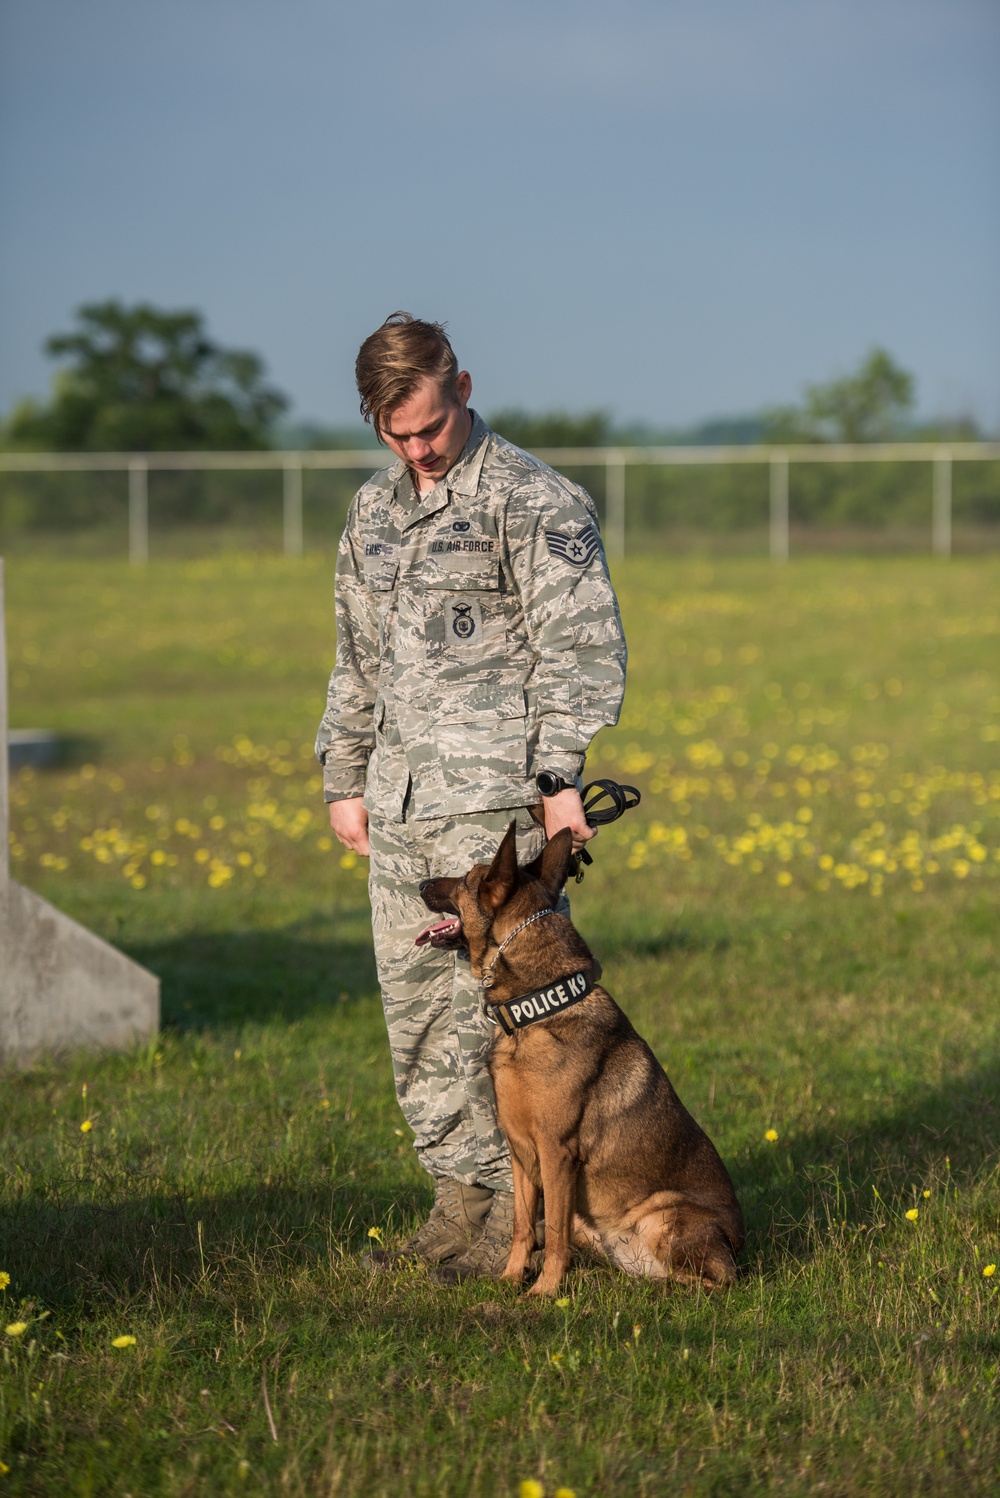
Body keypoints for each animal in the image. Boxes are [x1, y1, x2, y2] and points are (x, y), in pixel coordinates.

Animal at [419, 826, 745, 1294]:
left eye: (466, 880)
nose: (420, 884)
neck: (536, 1011)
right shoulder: (522, 1155)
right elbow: (522, 1226)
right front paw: (511, 1279)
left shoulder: (556, 1155)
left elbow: (552, 1234)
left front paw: (544, 1292)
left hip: (665, 1218)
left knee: (719, 1280)